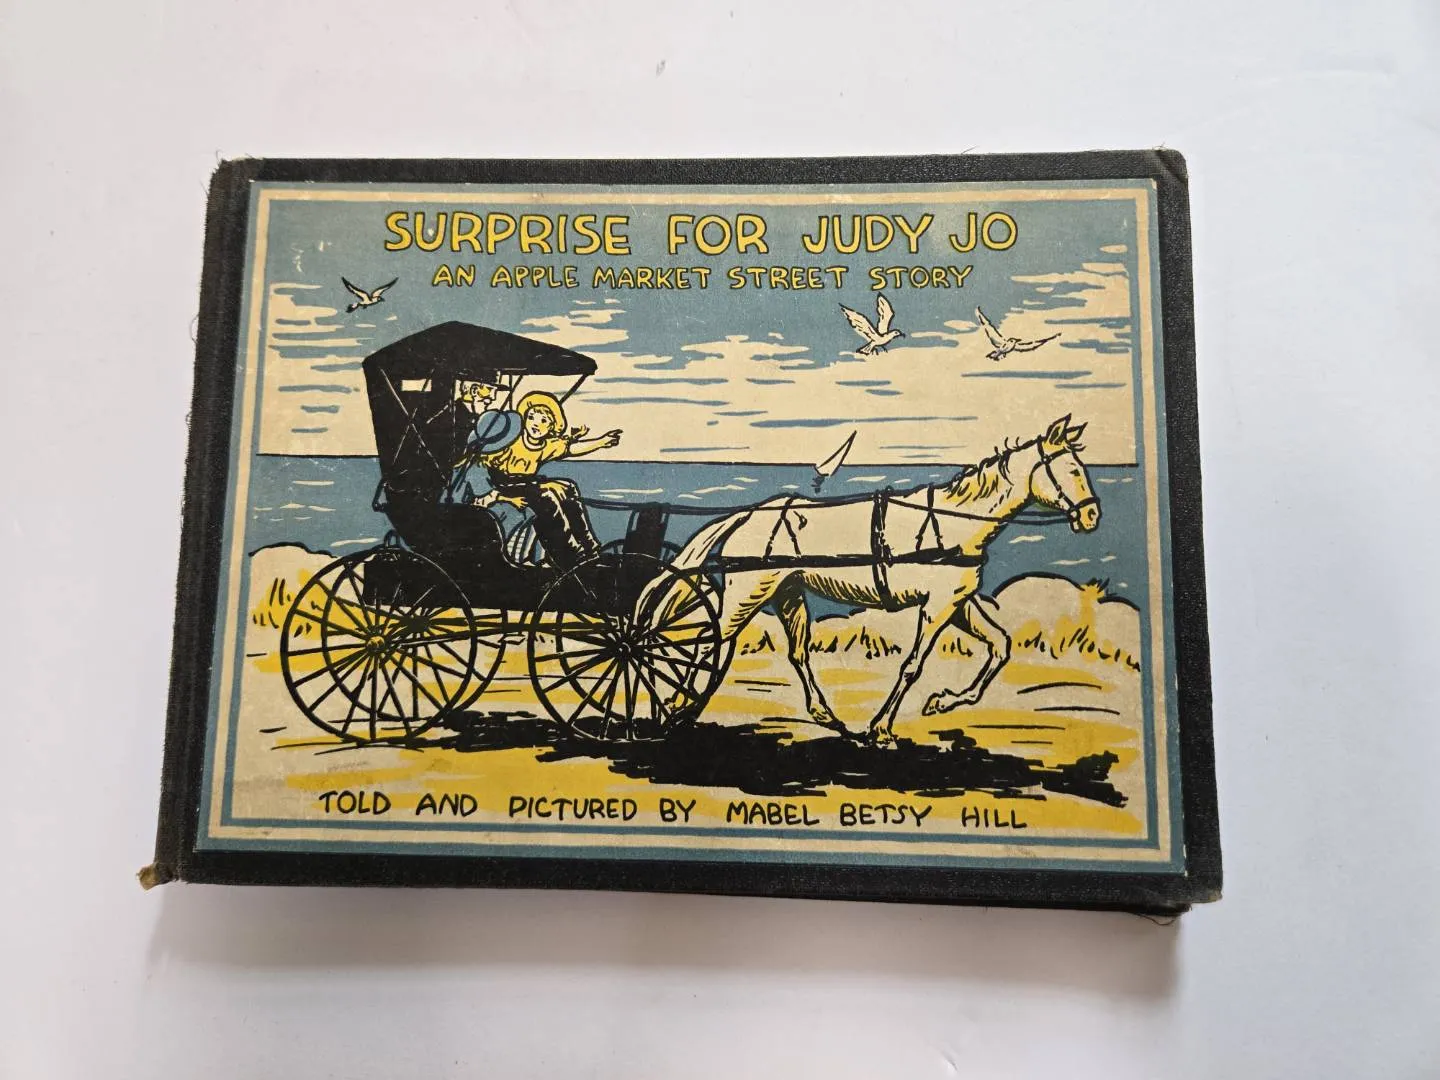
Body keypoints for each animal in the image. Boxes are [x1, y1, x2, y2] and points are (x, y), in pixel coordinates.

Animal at [641, 415, 1102, 745]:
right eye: (1071, 470)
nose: (1093, 515)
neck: (954, 523)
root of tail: (751, 514)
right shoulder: (936, 608)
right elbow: (912, 665)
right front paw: (880, 728)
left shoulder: (958, 602)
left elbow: (1001, 645)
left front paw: (944, 702)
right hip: (747, 593)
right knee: (710, 643)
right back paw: (676, 703)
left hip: (787, 593)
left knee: (796, 652)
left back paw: (824, 714)